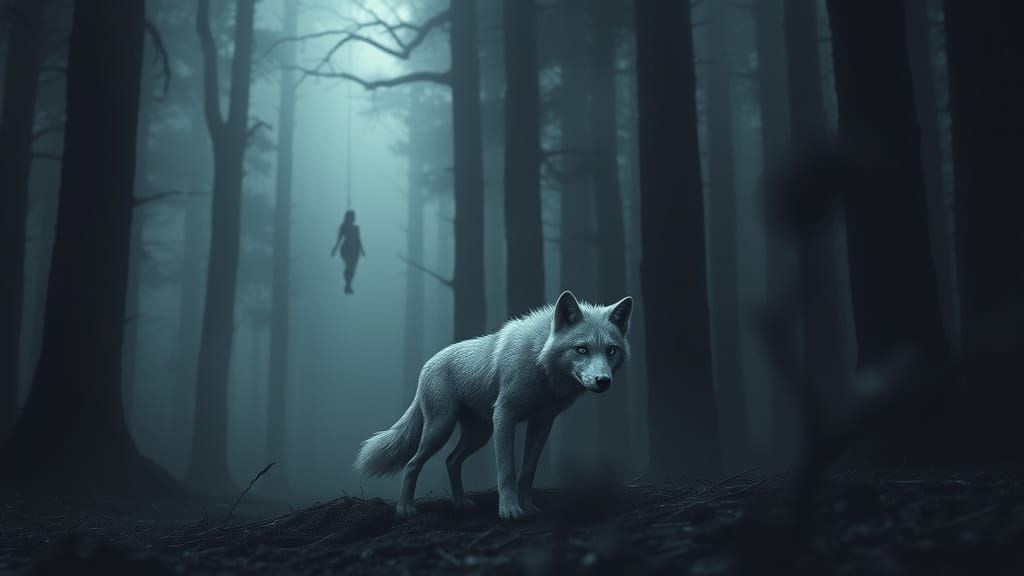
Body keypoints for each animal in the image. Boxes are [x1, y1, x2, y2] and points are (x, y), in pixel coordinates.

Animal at [354, 290, 633, 520]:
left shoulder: (541, 424)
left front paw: (528, 507)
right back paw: (405, 509)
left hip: (479, 434)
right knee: (412, 464)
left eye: (610, 351)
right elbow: (507, 471)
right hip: (441, 428)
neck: (539, 363)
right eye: (582, 349)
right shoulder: (505, 416)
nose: (603, 381)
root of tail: (427, 364)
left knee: (451, 461)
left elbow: (527, 472)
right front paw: (510, 511)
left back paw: (460, 503)